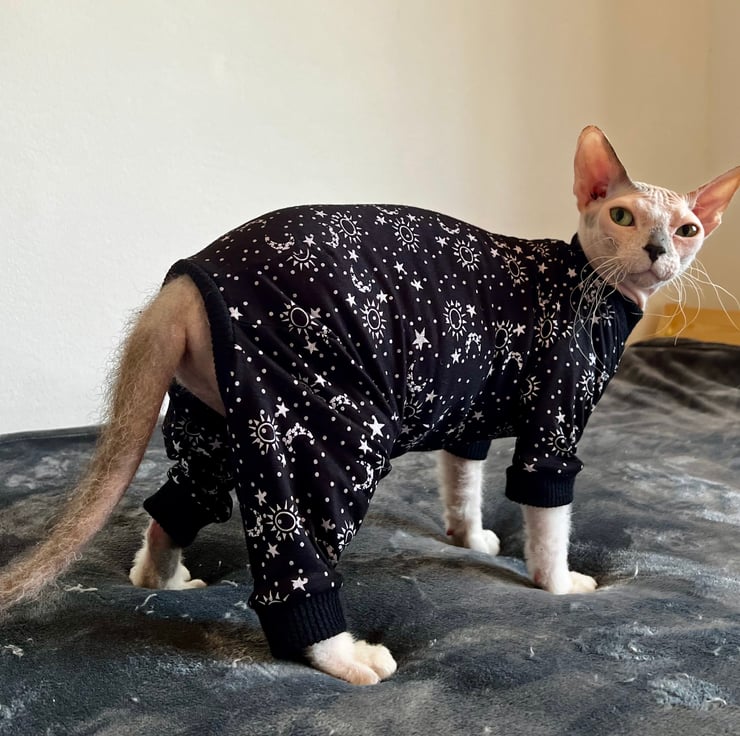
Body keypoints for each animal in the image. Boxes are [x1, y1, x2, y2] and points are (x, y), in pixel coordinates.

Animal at [1, 126, 738, 686]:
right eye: (623, 216)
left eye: (688, 229)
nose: (659, 251)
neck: (596, 288)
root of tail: (185, 282)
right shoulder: (554, 416)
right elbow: (547, 512)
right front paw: (557, 584)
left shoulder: (464, 412)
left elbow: (462, 483)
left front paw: (469, 537)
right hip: (324, 427)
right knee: (298, 561)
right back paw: (343, 654)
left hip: (210, 422)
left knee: (174, 508)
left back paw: (163, 581)